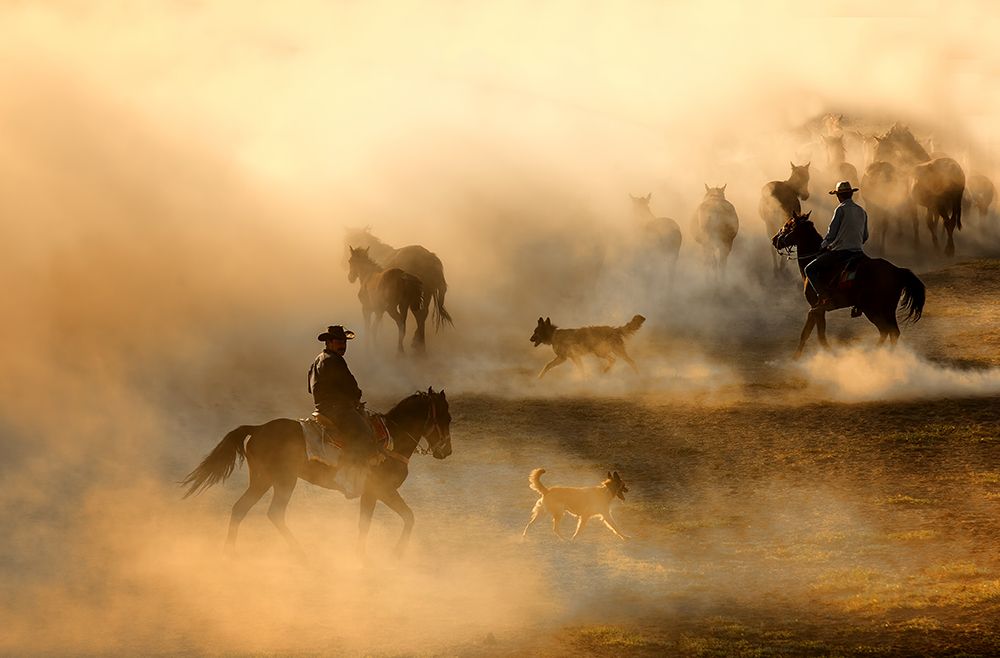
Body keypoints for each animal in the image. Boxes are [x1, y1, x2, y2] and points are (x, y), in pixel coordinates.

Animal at [181, 388, 453, 558]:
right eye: (447, 417)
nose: (446, 451)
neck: (392, 440)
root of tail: (258, 428)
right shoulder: (381, 490)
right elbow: (402, 518)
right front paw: (391, 554)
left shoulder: (375, 493)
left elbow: (381, 521)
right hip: (283, 480)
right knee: (274, 513)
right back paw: (301, 554)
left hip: (262, 480)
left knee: (240, 508)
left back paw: (230, 553)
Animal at [771, 210, 925, 359]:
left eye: (788, 225)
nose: (774, 240)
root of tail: (897, 270)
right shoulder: (818, 310)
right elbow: (819, 334)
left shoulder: (815, 307)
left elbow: (809, 333)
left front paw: (796, 357)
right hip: (885, 309)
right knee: (892, 332)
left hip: (873, 309)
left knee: (888, 331)